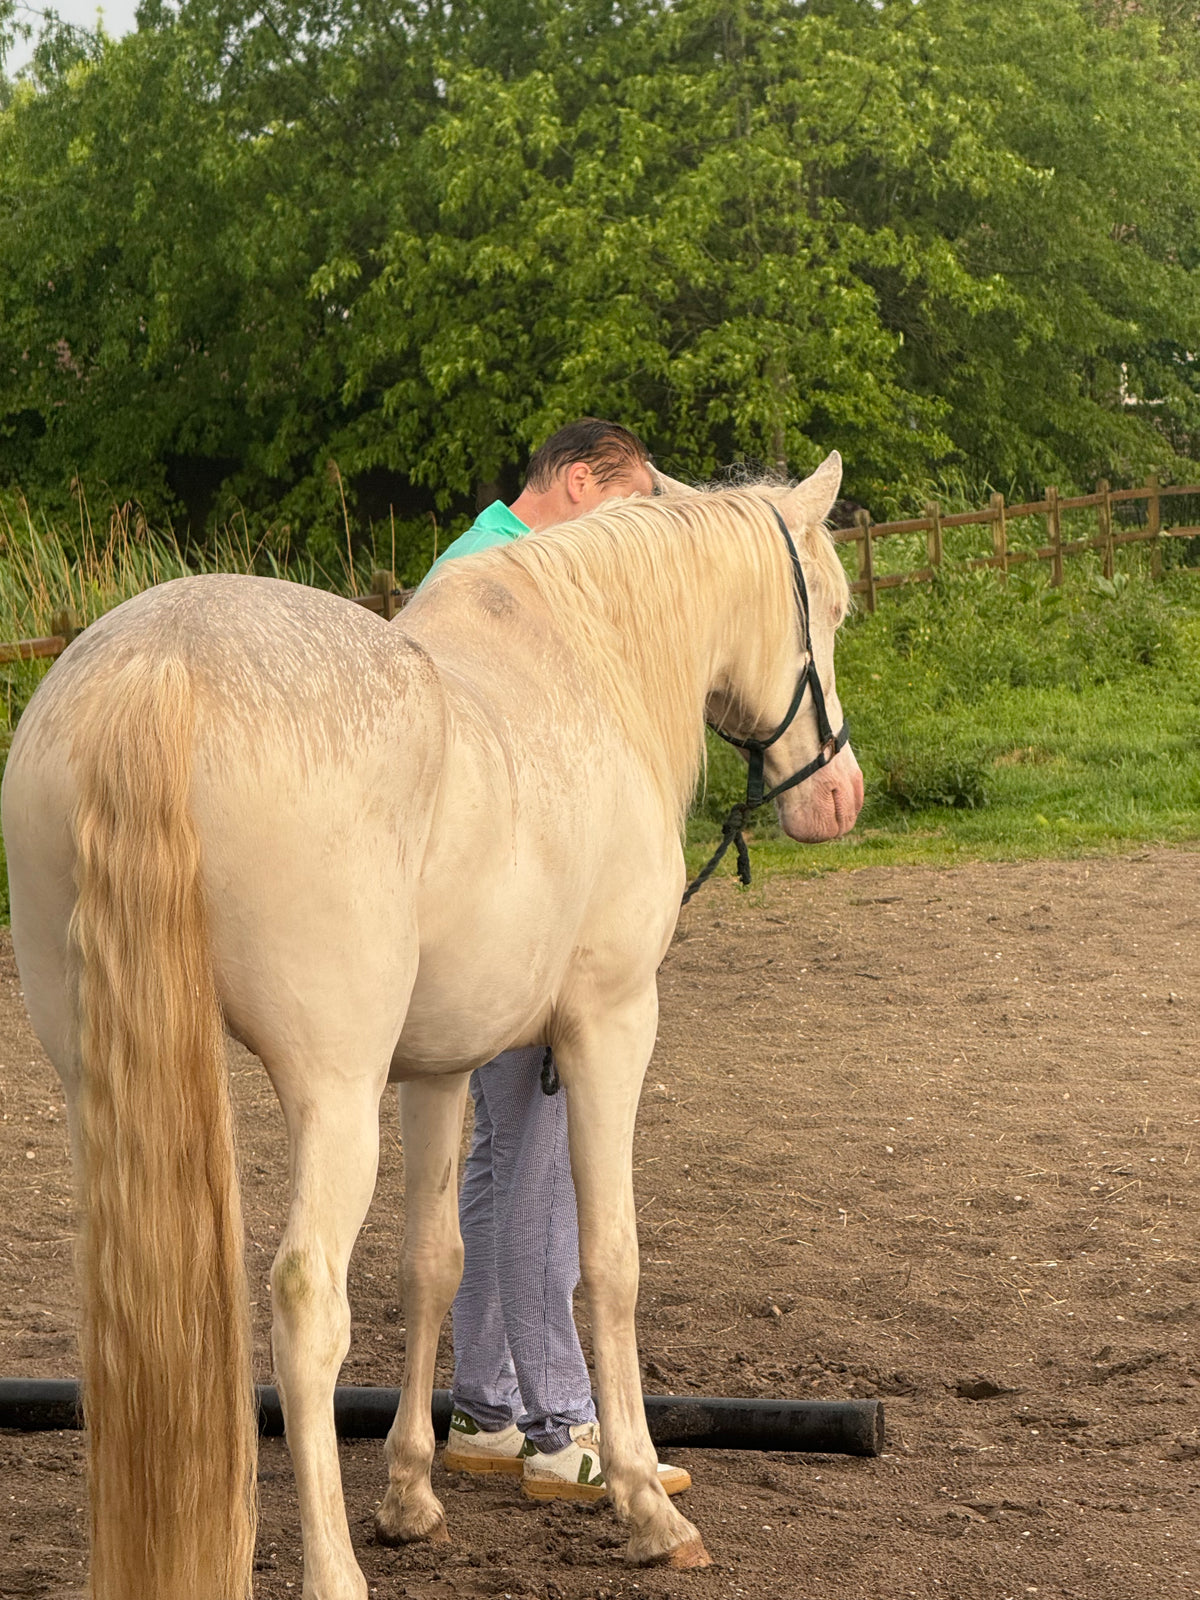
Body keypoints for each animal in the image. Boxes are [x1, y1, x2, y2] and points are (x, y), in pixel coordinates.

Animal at [1, 453, 862, 1600]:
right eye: (835, 610)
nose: (840, 795)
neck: (587, 666)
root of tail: (159, 664)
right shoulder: (609, 1024)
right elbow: (609, 1259)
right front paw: (644, 1501)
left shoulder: (442, 1064)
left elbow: (435, 1261)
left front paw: (411, 1494)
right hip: (331, 1090)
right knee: (306, 1303)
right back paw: (333, 1572)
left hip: (101, 1077)